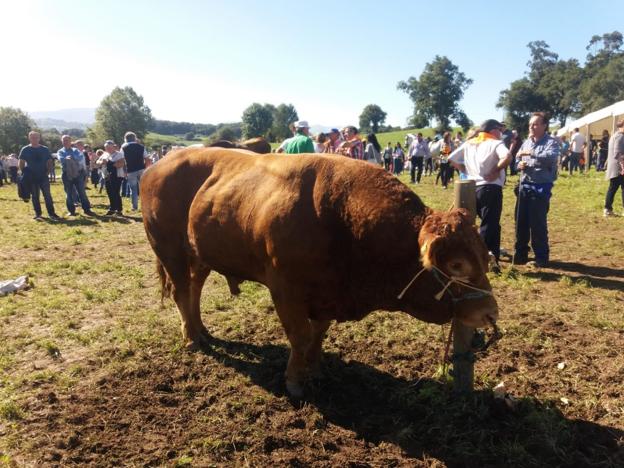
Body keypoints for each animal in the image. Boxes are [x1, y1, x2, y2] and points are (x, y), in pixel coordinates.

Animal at [140, 149, 498, 394]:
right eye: (457, 265)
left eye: (485, 255)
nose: (490, 312)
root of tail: (157, 164)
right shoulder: (285, 289)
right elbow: (299, 335)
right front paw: (295, 381)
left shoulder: (328, 294)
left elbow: (318, 333)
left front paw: (314, 369)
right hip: (169, 249)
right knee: (181, 291)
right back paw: (191, 338)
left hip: (200, 254)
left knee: (194, 288)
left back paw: (201, 330)